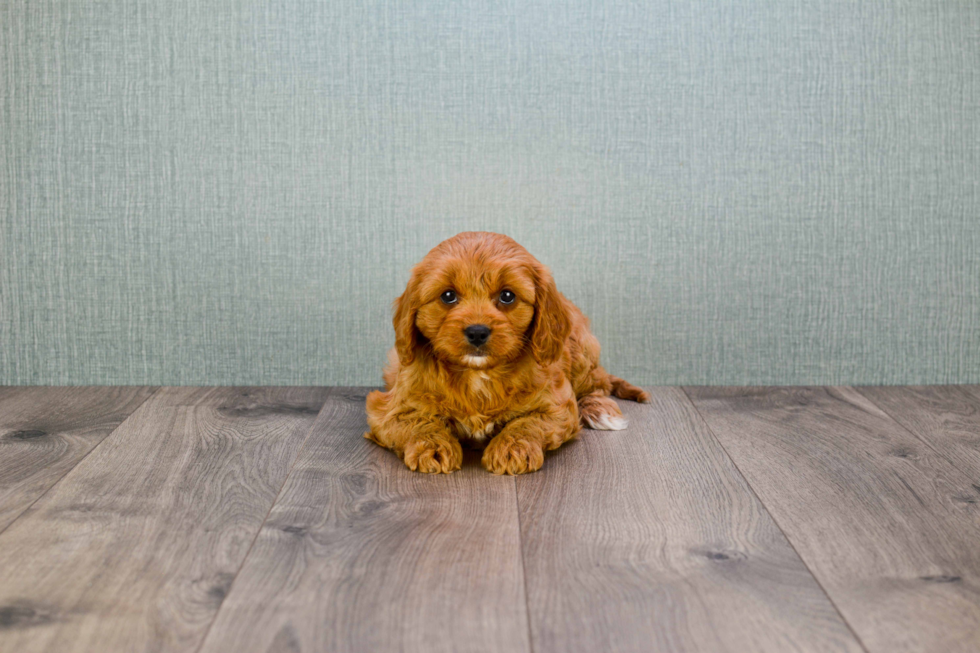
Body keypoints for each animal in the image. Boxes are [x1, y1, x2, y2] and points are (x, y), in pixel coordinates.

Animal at [364, 230, 648, 474]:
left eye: (507, 296)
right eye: (447, 295)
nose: (477, 332)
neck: (477, 375)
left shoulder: (557, 407)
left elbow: (528, 423)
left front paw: (512, 447)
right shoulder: (389, 408)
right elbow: (418, 422)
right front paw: (433, 447)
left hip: (581, 348)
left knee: (598, 384)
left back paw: (599, 409)